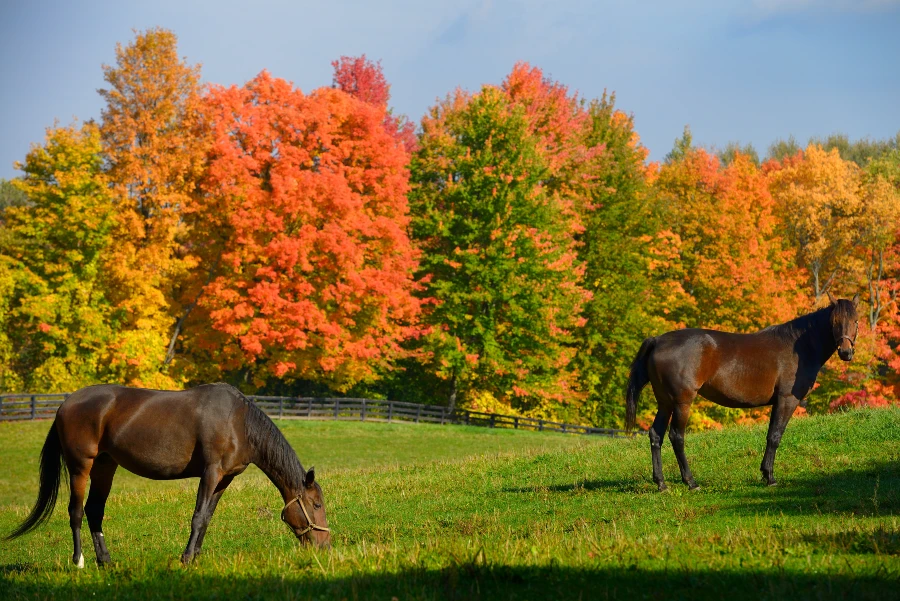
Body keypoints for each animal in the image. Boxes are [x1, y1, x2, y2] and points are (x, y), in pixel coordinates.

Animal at [1, 382, 332, 564]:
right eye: (316, 505)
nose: (324, 546)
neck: (238, 422)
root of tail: (65, 403)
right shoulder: (210, 473)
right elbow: (197, 517)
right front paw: (185, 559)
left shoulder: (224, 479)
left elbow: (207, 518)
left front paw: (196, 557)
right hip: (81, 465)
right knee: (76, 512)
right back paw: (79, 561)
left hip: (106, 466)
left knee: (95, 511)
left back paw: (105, 561)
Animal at [624, 292, 856, 490]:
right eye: (834, 322)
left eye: (855, 321)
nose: (846, 352)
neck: (798, 347)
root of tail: (658, 340)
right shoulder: (787, 400)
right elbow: (775, 436)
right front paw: (770, 477)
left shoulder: (777, 403)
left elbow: (770, 435)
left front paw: (765, 473)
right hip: (682, 403)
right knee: (676, 436)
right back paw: (691, 482)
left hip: (665, 402)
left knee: (656, 435)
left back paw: (661, 483)